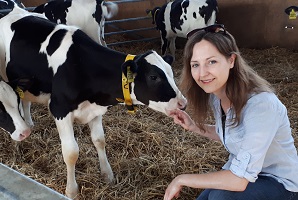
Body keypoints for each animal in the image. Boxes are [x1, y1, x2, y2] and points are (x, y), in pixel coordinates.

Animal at [0, 1, 186, 198]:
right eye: (153, 77)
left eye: (171, 73)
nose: (183, 103)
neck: (80, 65)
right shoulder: (60, 110)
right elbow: (71, 153)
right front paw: (71, 190)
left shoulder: (95, 108)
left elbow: (99, 140)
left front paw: (107, 174)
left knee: (24, 101)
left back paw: (27, 124)